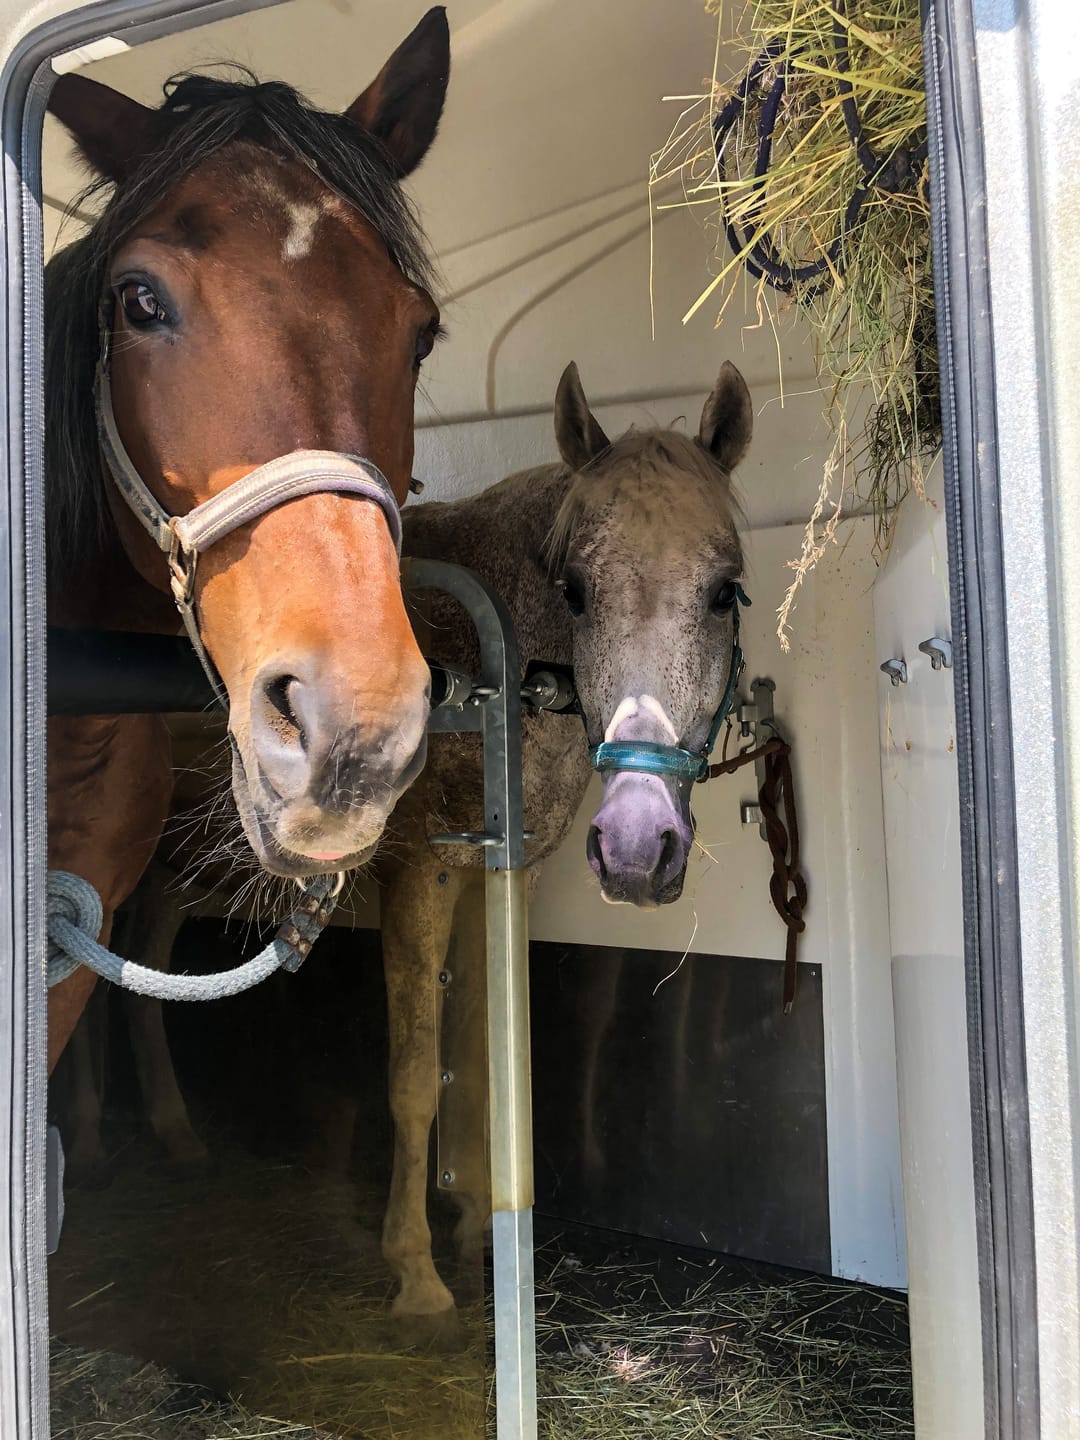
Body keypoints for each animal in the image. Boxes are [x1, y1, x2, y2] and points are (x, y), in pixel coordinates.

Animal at [59, 360, 752, 1343]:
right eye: (576, 587)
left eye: (724, 589)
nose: (637, 847)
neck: (490, 659)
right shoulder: (419, 875)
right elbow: (418, 1074)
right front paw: (417, 1276)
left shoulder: (495, 875)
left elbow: (480, 1055)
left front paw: (472, 1230)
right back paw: (89, 1139)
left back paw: (176, 1134)